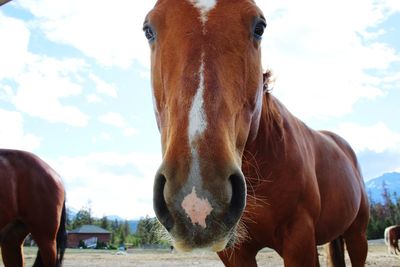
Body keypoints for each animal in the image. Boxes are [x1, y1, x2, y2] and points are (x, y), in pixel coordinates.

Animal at [143, 1, 368, 266]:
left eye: (259, 27)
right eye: (149, 30)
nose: (196, 200)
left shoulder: (299, 240)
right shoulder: (235, 252)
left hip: (357, 235)